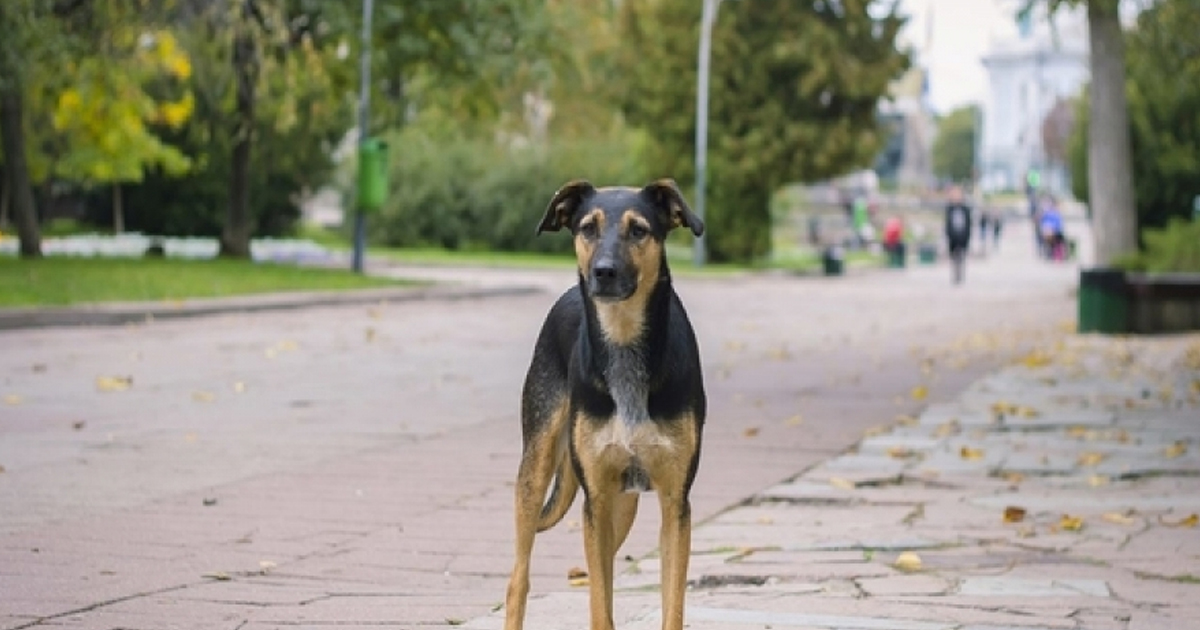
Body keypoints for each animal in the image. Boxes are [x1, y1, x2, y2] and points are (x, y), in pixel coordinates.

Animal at [504, 177, 700, 628]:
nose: (604, 272)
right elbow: (599, 607)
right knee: (518, 579)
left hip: (621, 505)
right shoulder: (594, 499)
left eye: (639, 230)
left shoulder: (675, 503)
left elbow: (671, 605)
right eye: (587, 228)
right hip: (536, 470)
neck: (624, 342)